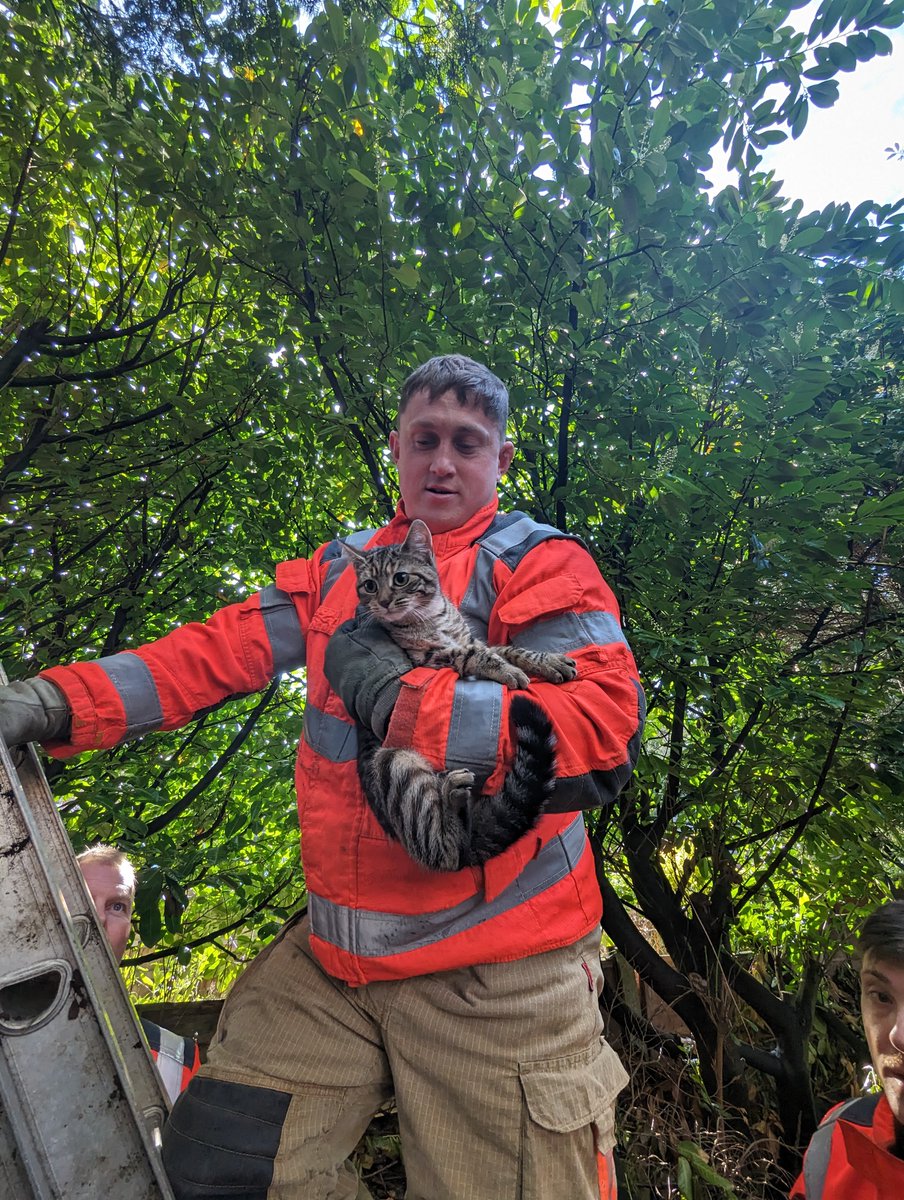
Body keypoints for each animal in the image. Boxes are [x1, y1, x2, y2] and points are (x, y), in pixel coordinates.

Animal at [340, 520, 573, 868]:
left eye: (400, 579)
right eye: (369, 585)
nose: (381, 602)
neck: (433, 617)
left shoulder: (472, 639)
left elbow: (507, 649)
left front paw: (545, 661)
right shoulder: (428, 659)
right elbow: (473, 654)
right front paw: (505, 668)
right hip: (394, 763)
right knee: (446, 852)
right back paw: (451, 803)